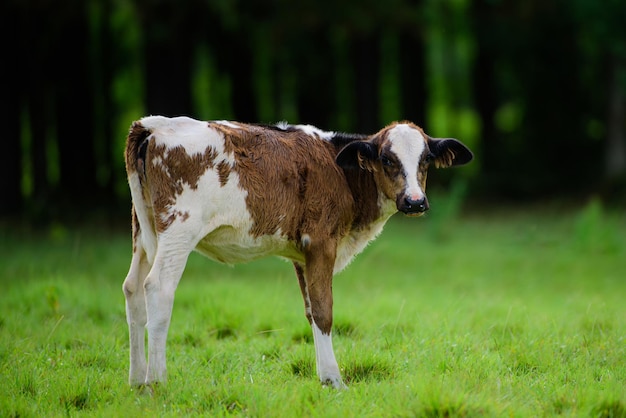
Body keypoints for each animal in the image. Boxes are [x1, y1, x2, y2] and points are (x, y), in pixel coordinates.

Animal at [123, 115, 472, 388]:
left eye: (425, 159)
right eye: (387, 159)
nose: (415, 201)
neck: (339, 170)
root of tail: (154, 125)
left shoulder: (302, 254)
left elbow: (310, 311)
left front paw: (323, 376)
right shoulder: (321, 242)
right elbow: (323, 310)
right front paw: (334, 380)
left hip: (143, 231)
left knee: (133, 290)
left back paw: (137, 381)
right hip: (179, 229)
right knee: (158, 288)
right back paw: (156, 381)